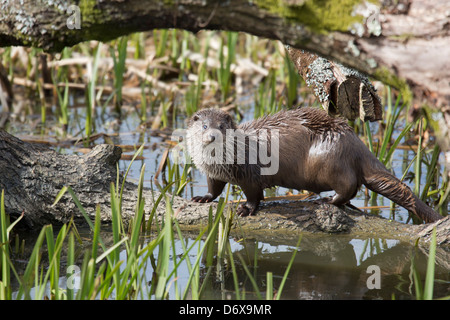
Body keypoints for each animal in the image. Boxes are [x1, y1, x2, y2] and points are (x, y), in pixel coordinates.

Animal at [185, 107, 442, 222]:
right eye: (205, 126)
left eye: (222, 126)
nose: (212, 136)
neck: (220, 162)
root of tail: (353, 141)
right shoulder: (212, 173)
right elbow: (214, 188)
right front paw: (202, 197)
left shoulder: (250, 173)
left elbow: (254, 194)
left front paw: (245, 209)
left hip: (328, 161)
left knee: (350, 185)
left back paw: (328, 201)